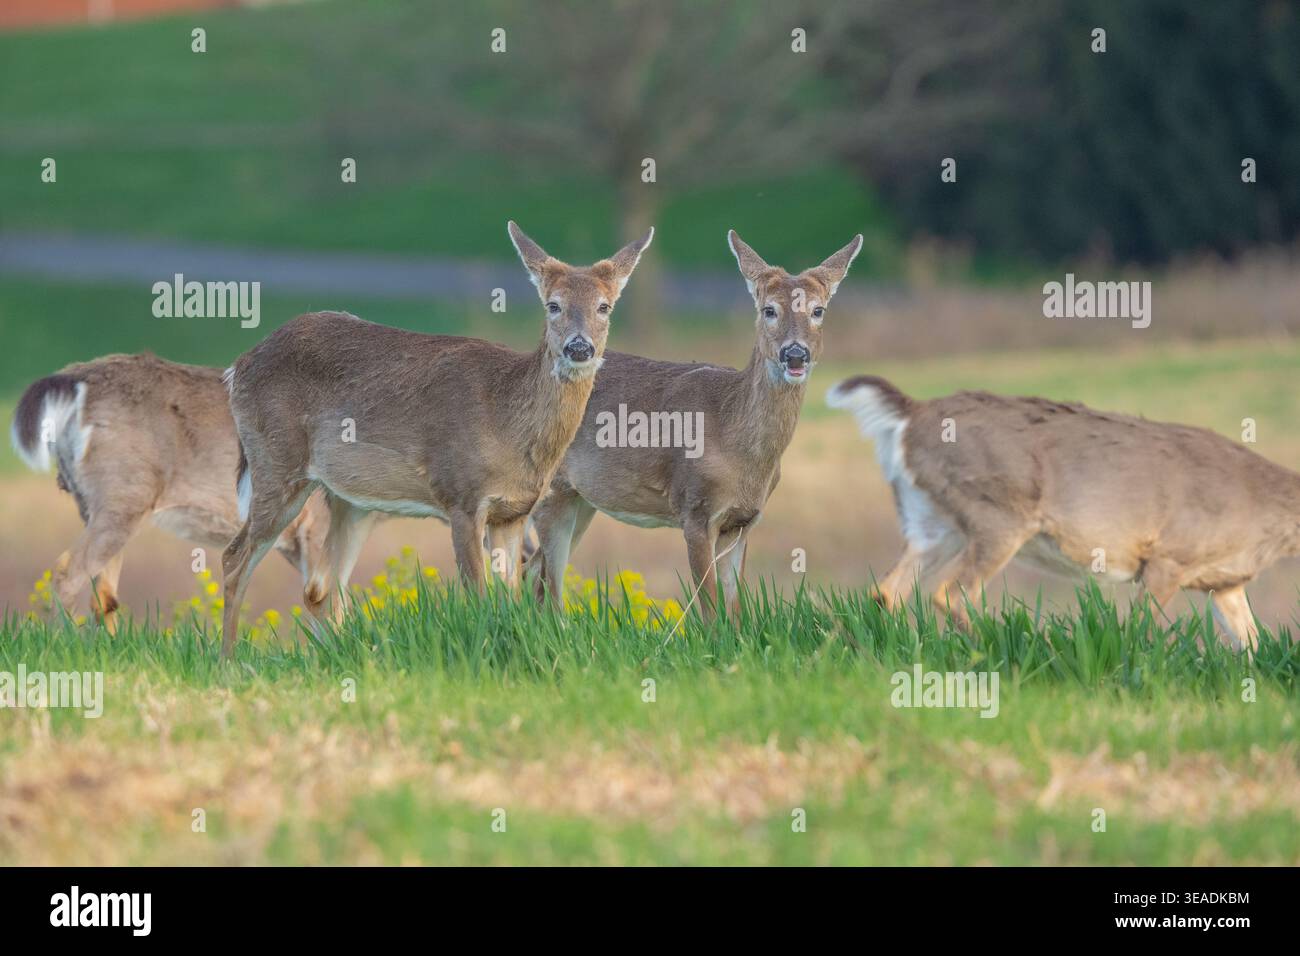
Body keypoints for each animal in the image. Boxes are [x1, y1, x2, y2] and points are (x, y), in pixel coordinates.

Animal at [10, 353, 329, 633]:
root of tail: (72, 378)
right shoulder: (316, 524)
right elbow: (324, 596)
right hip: (124, 497)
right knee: (67, 572)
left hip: (100, 506)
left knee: (104, 595)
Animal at [219, 221, 653, 656]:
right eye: (553, 305)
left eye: (604, 306)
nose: (579, 347)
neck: (507, 423)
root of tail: (237, 366)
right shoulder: (460, 495)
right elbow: (478, 597)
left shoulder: (514, 512)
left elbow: (511, 596)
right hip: (276, 461)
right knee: (233, 559)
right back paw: (229, 661)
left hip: (348, 499)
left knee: (321, 587)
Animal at [526, 230, 863, 619]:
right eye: (769, 310)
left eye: (818, 310)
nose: (795, 354)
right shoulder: (695, 508)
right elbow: (711, 613)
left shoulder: (744, 521)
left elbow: (735, 611)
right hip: (550, 490)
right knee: (543, 579)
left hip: (581, 499)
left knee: (534, 570)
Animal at [825, 376, 1300, 653]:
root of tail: (913, 413)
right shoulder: (1168, 557)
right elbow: (1139, 627)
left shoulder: (1225, 583)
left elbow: (1252, 643)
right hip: (999, 515)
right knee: (949, 591)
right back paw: (1013, 648)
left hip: (931, 521)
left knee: (886, 590)